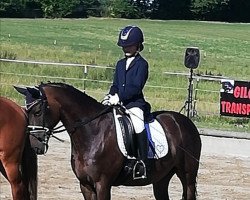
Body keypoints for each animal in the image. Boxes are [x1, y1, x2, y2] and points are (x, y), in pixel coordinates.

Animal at [15, 82, 202, 200]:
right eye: (27, 111)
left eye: (38, 111)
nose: (36, 146)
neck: (92, 132)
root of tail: (184, 121)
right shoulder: (86, 185)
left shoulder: (103, 184)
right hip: (162, 177)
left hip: (187, 175)